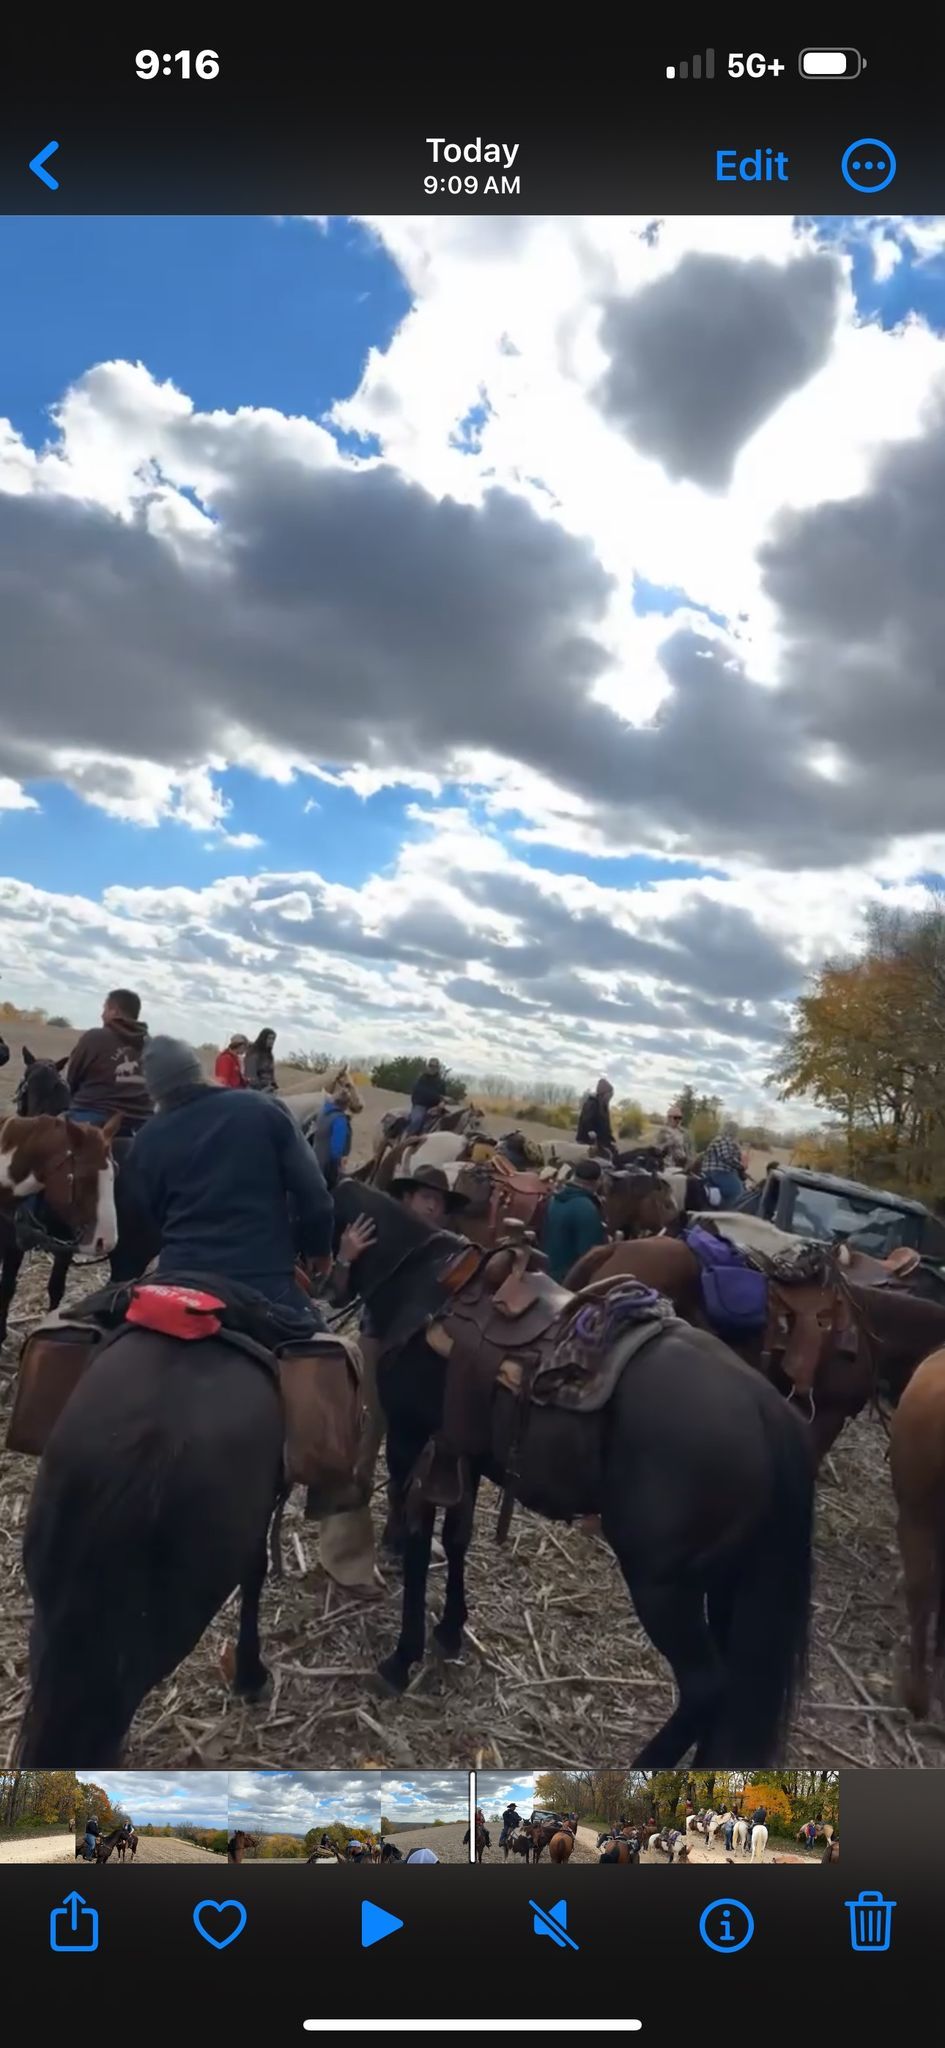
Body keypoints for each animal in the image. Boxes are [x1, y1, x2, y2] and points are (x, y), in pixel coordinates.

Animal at [330, 1179, 811, 1769]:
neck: (424, 1281)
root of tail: (769, 1414)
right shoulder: (462, 1453)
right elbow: (458, 1537)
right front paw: (450, 1630)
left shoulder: (412, 1439)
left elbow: (422, 1544)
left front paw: (403, 1656)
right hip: (725, 1587)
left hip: (663, 1587)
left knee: (706, 1686)